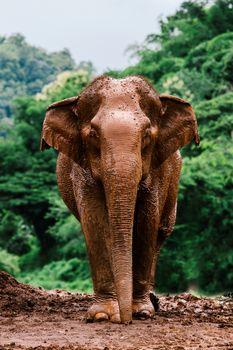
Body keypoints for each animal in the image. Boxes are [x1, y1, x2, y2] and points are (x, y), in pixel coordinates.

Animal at [40, 75, 198, 324]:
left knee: (161, 232)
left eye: (146, 134)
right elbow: (94, 221)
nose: (125, 321)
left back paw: (151, 302)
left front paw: (142, 311)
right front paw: (102, 314)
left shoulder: (158, 170)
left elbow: (147, 221)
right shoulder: (82, 169)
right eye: (93, 134)